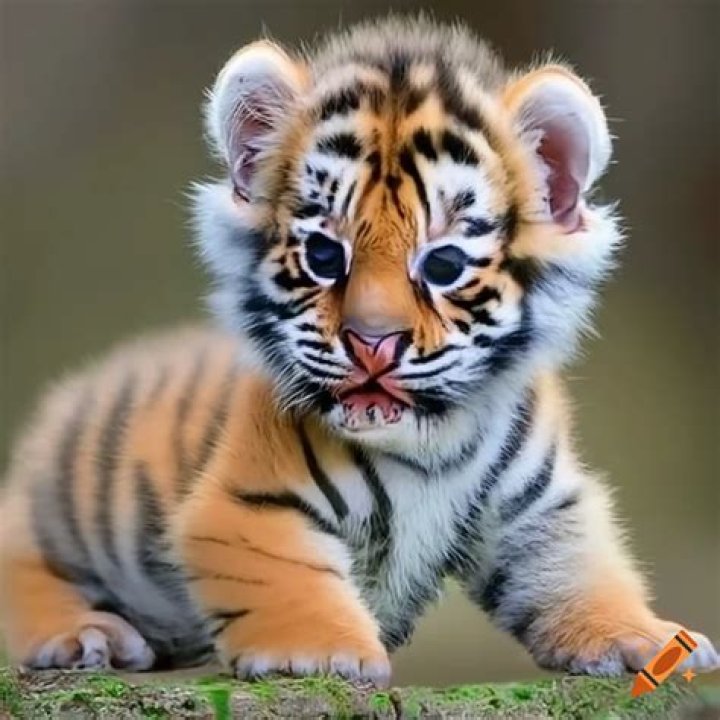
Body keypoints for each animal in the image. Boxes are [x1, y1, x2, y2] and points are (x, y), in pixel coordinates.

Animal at [1, 16, 717, 685]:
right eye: (324, 256)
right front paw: (317, 656)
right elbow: (286, 572)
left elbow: (582, 572)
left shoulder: (539, 509)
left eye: (444, 264)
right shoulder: (248, 500)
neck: (432, 443)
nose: (373, 342)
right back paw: (87, 635)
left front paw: (647, 639)